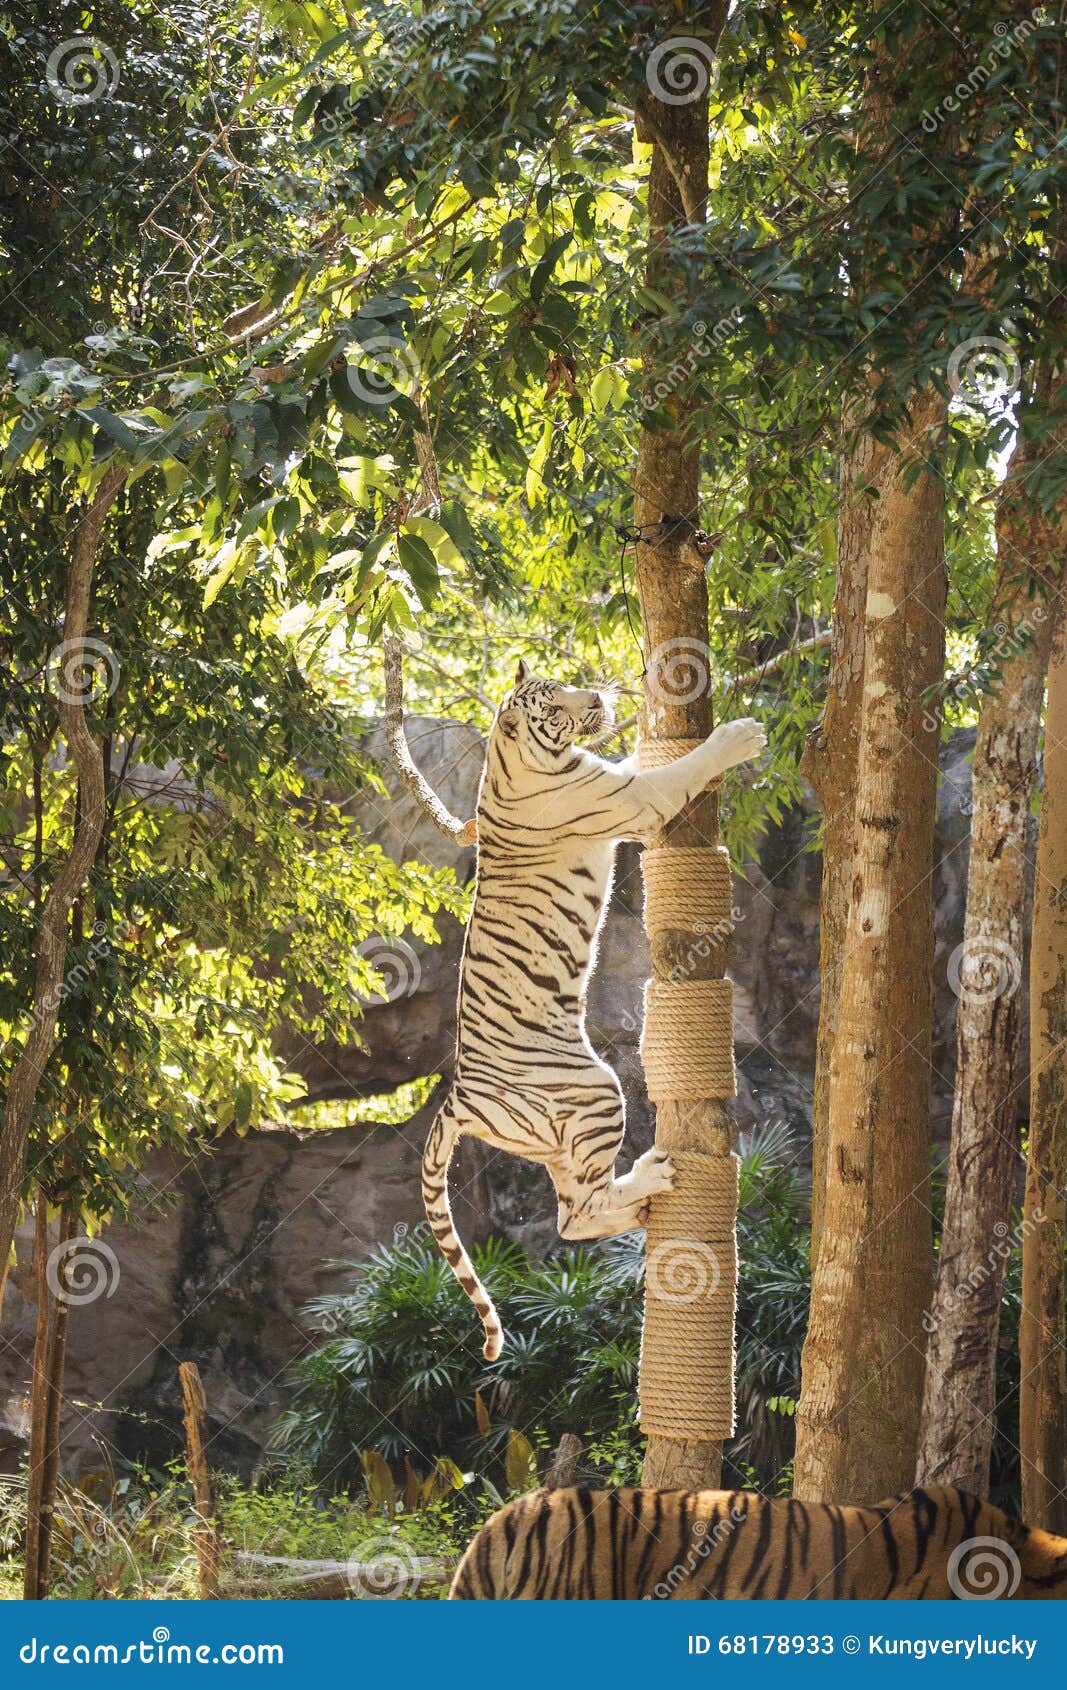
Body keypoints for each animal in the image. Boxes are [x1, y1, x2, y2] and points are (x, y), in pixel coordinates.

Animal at [421, 657, 766, 1359]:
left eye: (565, 685)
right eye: (553, 708)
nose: (599, 699)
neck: (513, 757)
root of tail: (458, 1096)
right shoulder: (632, 797)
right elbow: (684, 768)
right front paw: (741, 734)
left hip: (561, 1138)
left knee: (571, 1208)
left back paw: (641, 1197)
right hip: (596, 1089)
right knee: (577, 1218)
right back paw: (653, 1182)